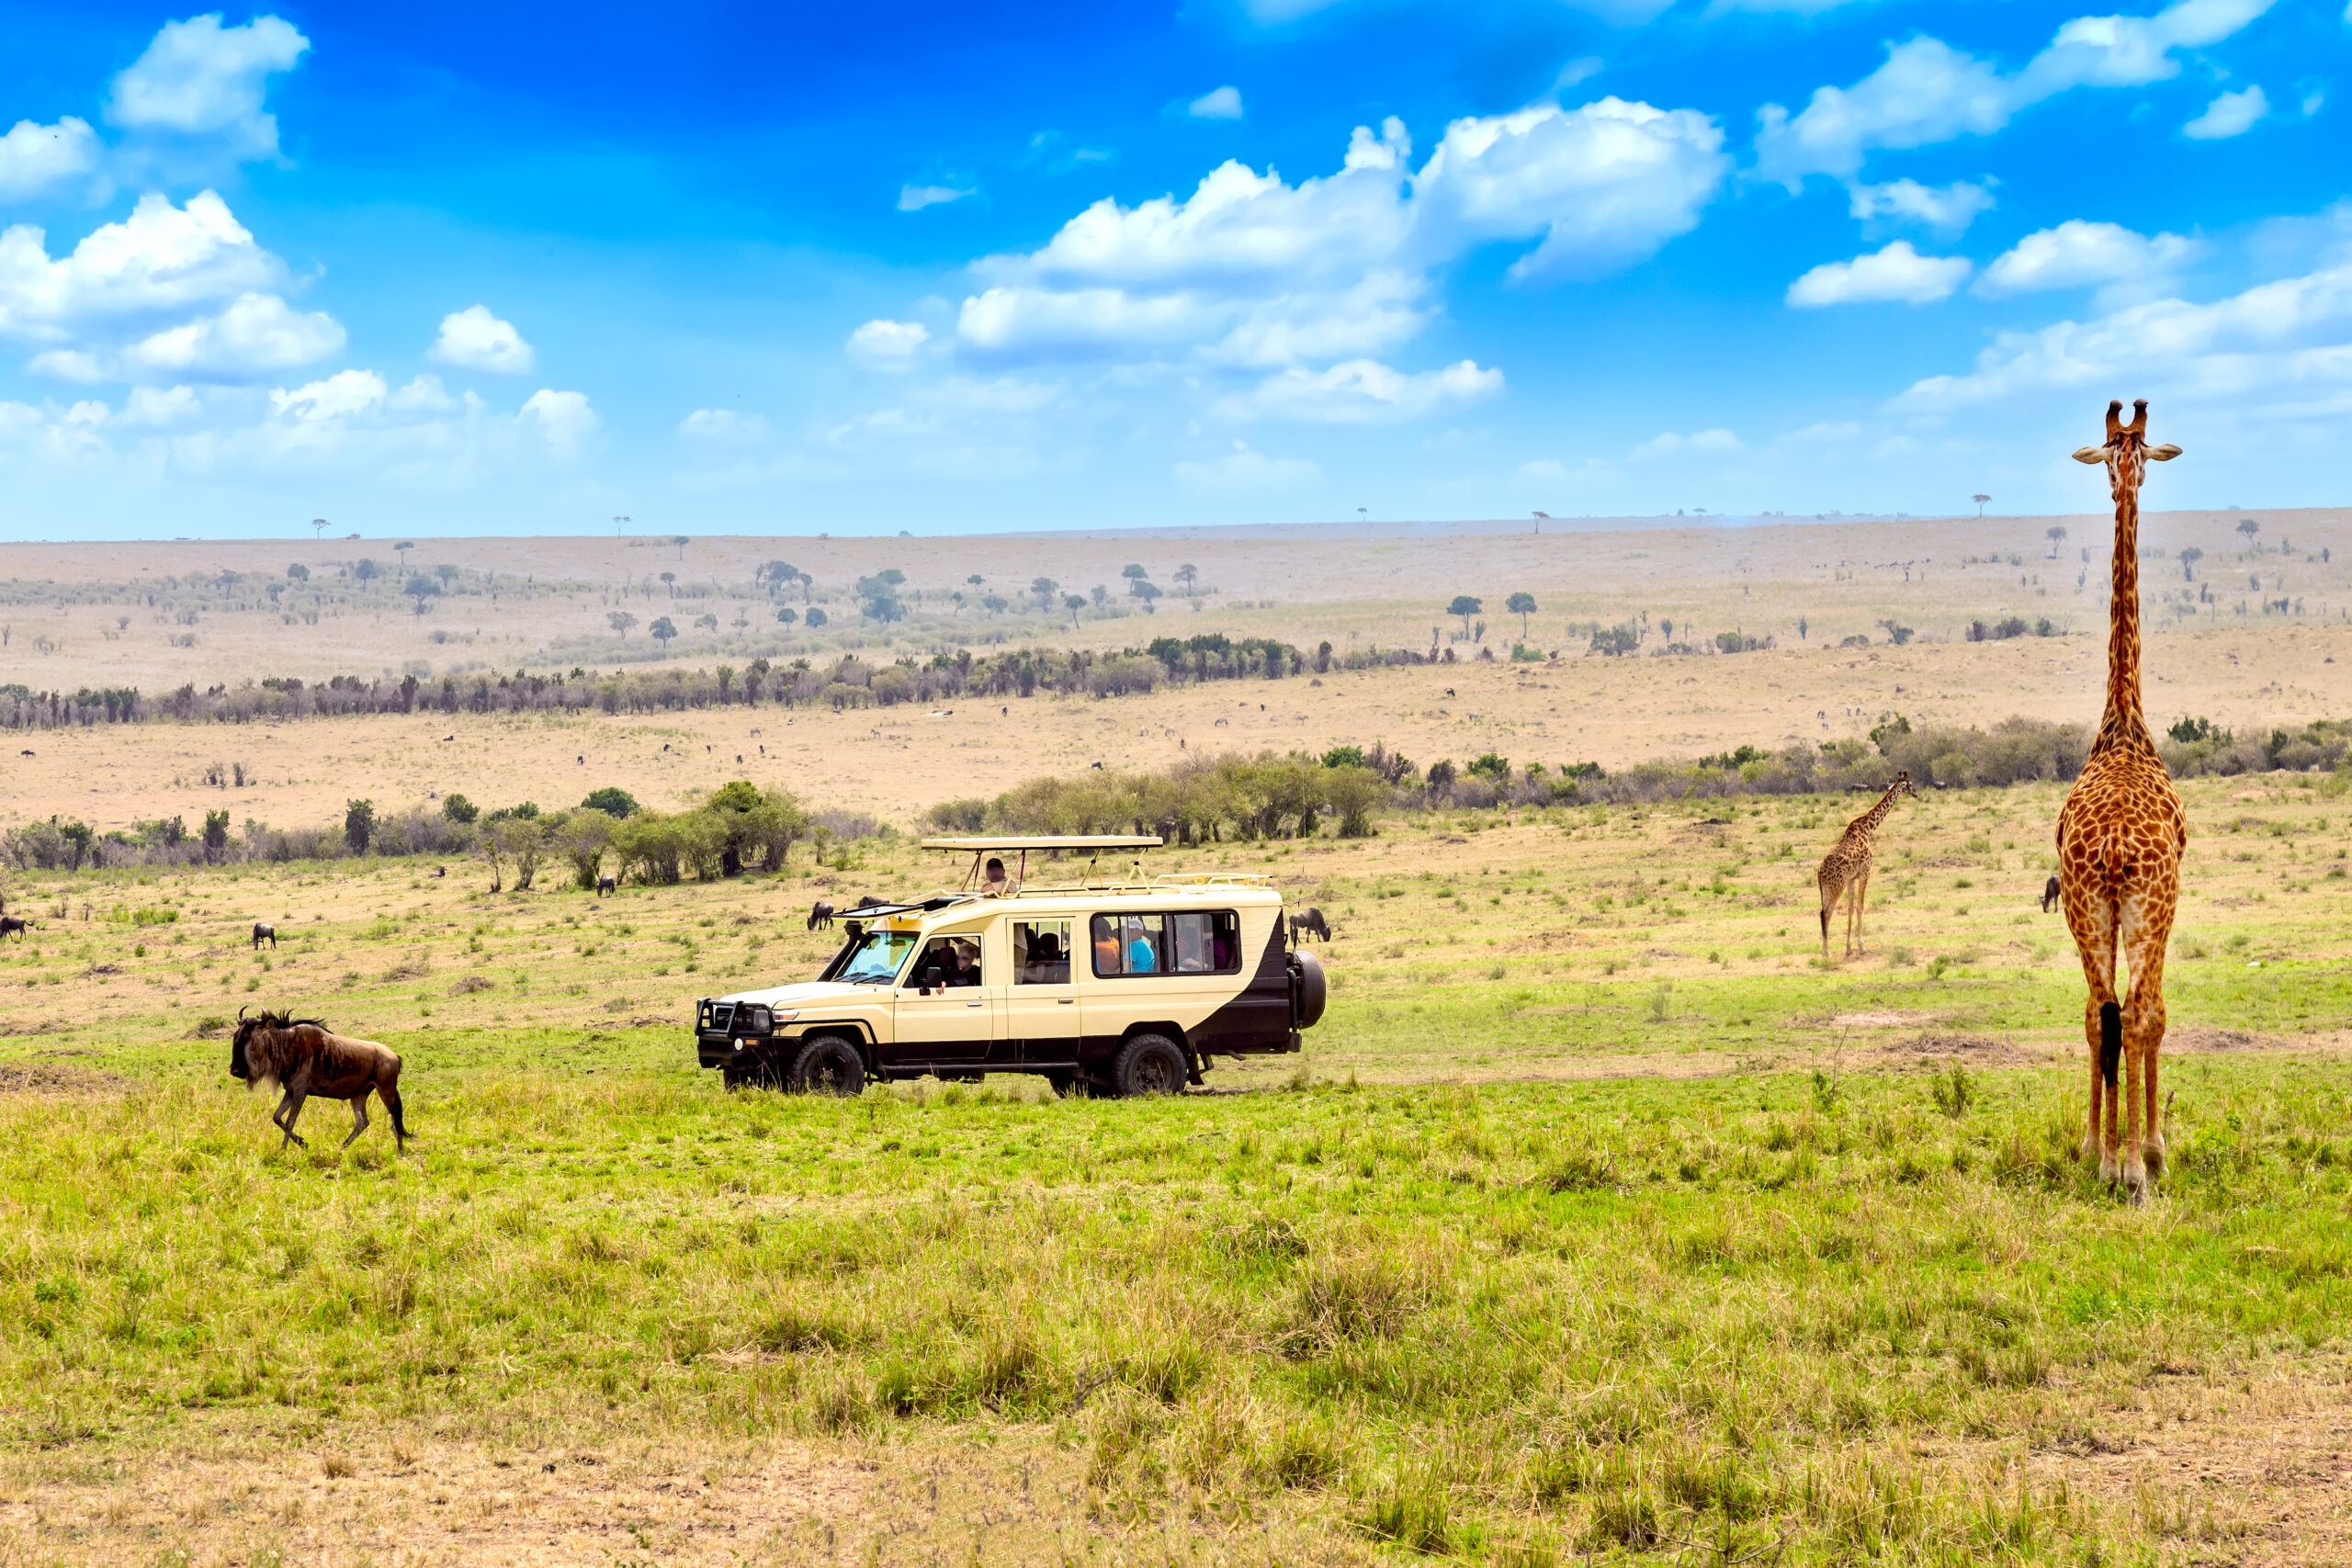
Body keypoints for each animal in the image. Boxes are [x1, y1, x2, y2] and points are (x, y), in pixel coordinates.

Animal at [1815, 771, 1918, 958]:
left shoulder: (1851, 879)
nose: (1916, 792)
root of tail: (1820, 872)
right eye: (1910, 783)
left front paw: (1849, 948)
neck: (1868, 829)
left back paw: (1825, 949)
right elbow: (1860, 906)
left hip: (1826, 887)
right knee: (1827, 912)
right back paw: (1826, 952)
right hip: (1836, 886)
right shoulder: (1865, 872)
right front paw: (1862, 947)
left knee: (1822, 911)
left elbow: (1850, 908)